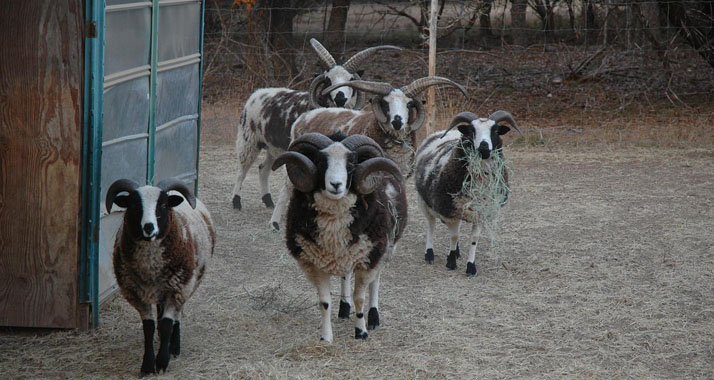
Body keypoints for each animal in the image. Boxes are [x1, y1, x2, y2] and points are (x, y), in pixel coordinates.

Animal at [103, 178, 214, 378]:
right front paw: (147, 366)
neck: (150, 268)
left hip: (185, 285)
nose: (148, 227)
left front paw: (162, 362)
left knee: (176, 317)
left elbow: (167, 324)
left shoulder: (178, 289)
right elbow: (148, 328)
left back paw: (174, 347)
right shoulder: (136, 294)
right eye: (134, 204)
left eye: (162, 204)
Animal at [229, 39, 400, 211]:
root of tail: (257, 94)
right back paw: (236, 201)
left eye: (351, 80)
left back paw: (268, 201)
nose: (340, 98)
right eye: (328, 80)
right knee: (242, 170)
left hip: (273, 147)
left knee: (263, 169)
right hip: (249, 140)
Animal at [272, 133, 406, 342]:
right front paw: (326, 338)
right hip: (347, 254)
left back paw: (373, 317)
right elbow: (325, 302)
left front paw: (361, 332)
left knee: (375, 282)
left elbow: (360, 297)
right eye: (320, 162)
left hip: (384, 248)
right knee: (345, 275)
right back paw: (344, 308)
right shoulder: (316, 264)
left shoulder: (368, 258)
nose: (336, 185)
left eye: (350, 164)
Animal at [412, 111, 516, 278]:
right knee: (431, 225)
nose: (484, 146)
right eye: (472, 131)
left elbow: (473, 238)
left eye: (494, 130)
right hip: (424, 200)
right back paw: (429, 254)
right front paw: (451, 262)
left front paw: (470, 267)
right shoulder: (449, 210)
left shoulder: (480, 212)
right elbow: (453, 236)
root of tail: (441, 132)